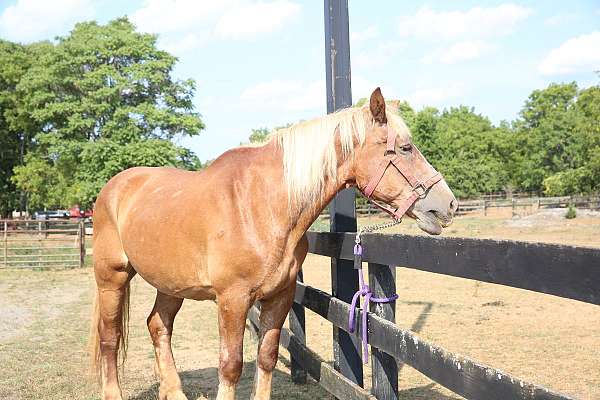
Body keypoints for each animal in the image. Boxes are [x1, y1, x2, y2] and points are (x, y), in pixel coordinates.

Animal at [88, 88, 454, 400]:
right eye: (405, 148)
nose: (447, 205)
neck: (260, 205)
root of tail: (113, 188)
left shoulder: (280, 295)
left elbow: (266, 356)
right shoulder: (232, 300)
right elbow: (231, 366)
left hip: (172, 284)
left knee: (158, 326)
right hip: (112, 279)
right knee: (110, 337)